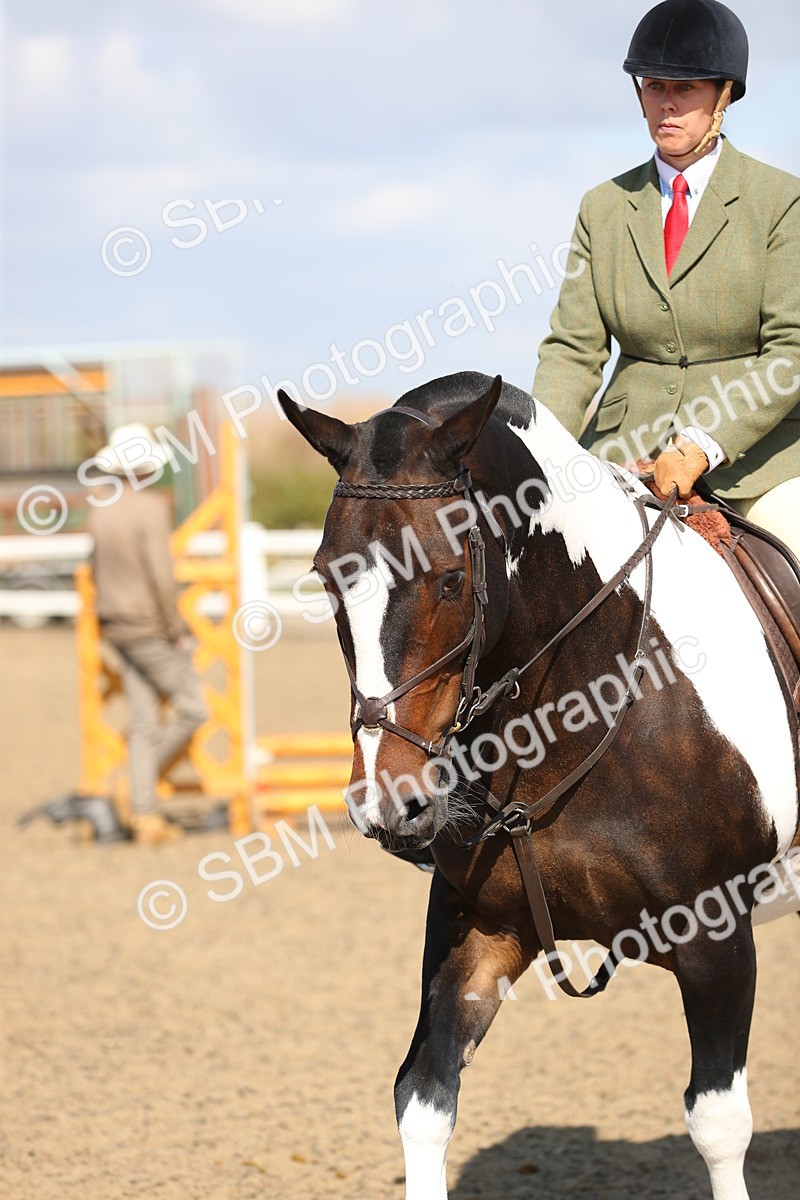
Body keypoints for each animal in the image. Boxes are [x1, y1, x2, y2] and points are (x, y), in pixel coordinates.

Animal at [277, 371, 800, 1200]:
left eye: (451, 578)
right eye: (327, 577)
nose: (392, 804)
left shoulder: (717, 936)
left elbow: (719, 1124)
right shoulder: (480, 926)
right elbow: (423, 1099)